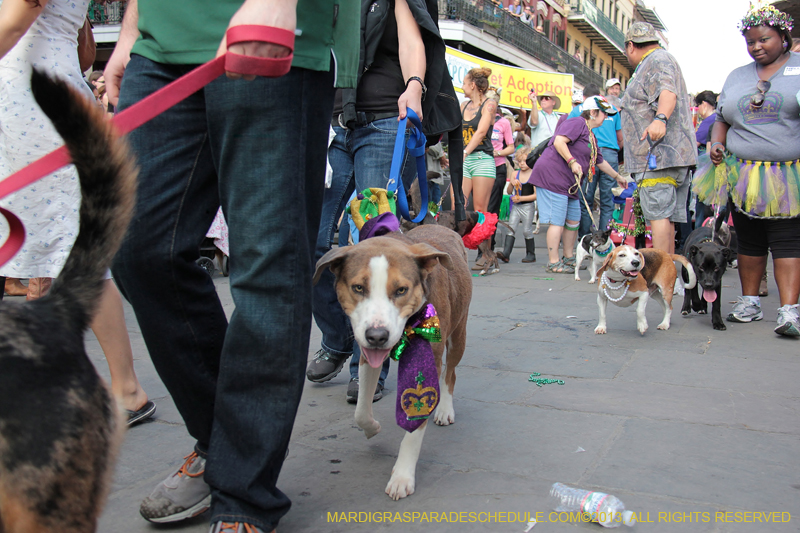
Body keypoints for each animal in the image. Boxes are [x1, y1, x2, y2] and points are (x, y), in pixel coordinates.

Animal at [316, 224, 472, 498]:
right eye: (358, 288)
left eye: (401, 290)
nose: (377, 336)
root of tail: (441, 225)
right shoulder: (366, 355)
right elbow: (360, 409)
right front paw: (371, 428)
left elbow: (414, 424)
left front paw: (402, 476)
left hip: (458, 332)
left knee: (450, 372)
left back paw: (444, 409)